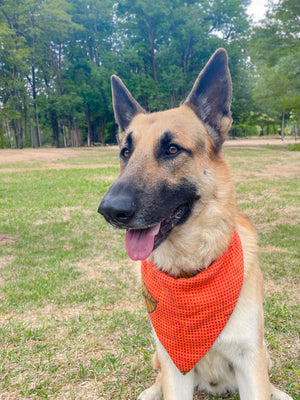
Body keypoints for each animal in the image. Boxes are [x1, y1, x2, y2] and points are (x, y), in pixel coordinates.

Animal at [99, 49, 292, 400]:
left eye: (172, 149)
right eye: (125, 152)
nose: (109, 210)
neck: (192, 269)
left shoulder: (250, 359)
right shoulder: (174, 365)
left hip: (264, 352)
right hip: (159, 354)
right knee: (158, 377)